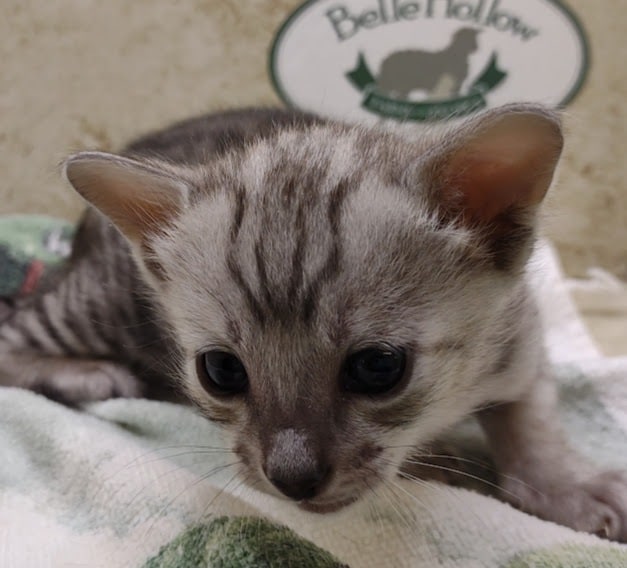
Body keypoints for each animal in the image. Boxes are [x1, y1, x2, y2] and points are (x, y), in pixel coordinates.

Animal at [1, 105, 625, 541]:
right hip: (102, 304)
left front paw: (565, 485)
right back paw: (83, 372)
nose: (292, 476)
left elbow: (532, 417)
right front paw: (441, 464)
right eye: (220, 371)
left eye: (378, 367)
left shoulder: (520, 335)